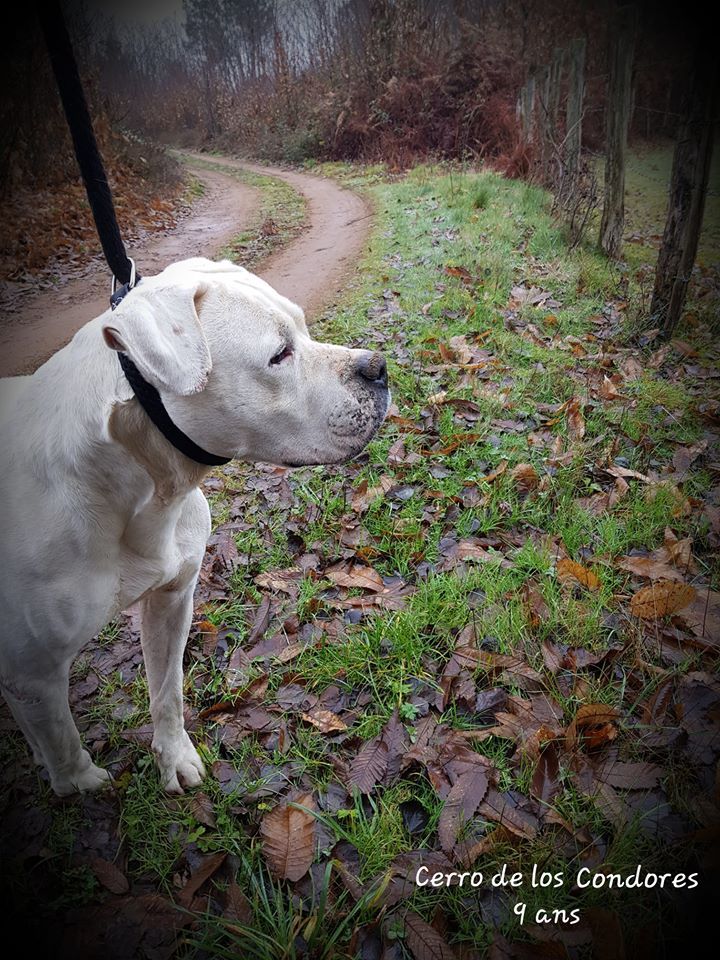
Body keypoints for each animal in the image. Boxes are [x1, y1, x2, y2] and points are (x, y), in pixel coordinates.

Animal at [0, 257, 389, 796]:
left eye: (303, 328)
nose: (379, 367)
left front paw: (175, 757)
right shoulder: (35, 671)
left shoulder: (172, 600)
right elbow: (61, 739)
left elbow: (168, 691)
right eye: (279, 355)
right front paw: (79, 782)